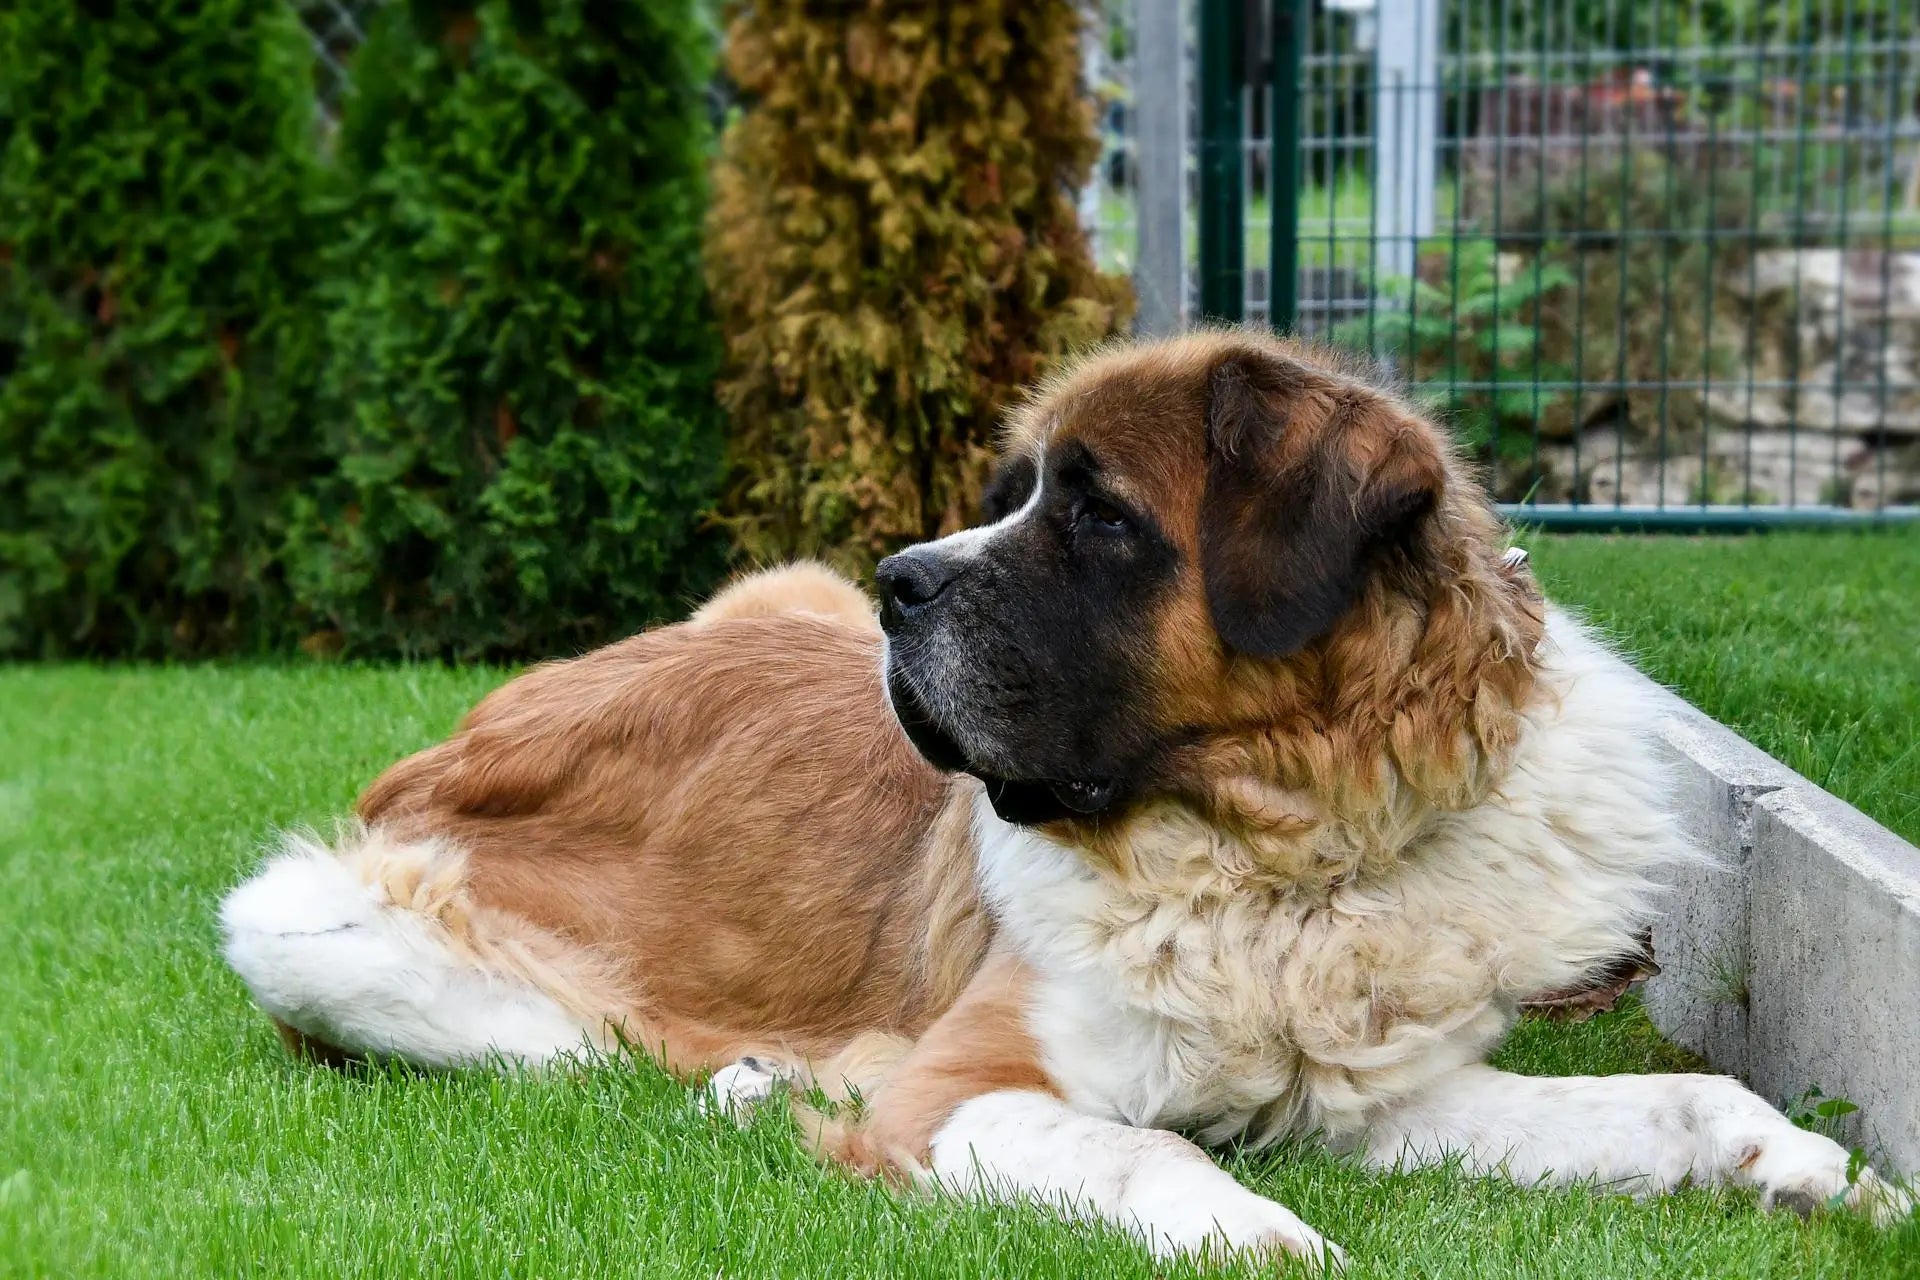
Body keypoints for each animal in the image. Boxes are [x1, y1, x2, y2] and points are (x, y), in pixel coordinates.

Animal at [220, 330, 1904, 1258]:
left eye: (1095, 516)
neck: (1279, 849)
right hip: (310, 923)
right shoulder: (970, 1091)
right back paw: (762, 1079)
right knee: (576, 1049)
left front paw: (1805, 1166)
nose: (900, 580)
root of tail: (463, 728)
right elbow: (1140, 1143)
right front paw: (1260, 1237)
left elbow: (1672, 1095)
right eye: (1008, 498)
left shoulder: (1383, 1101)